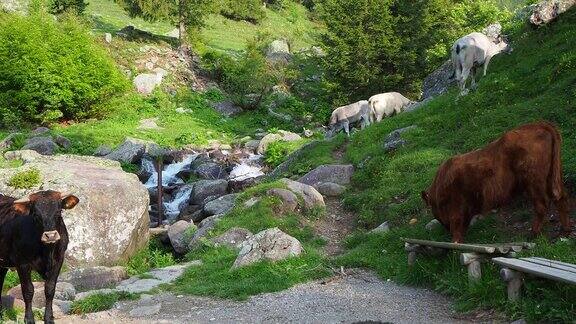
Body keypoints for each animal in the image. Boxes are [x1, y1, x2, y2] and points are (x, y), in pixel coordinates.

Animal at [0, 191, 79, 324]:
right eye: (36, 215)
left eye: (59, 211)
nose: (50, 235)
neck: (47, 251)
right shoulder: (22, 264)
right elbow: (28, 290)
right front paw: (29, 319)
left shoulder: (58, 261)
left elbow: (50, 289)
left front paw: (49, 318)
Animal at [420, 122, 572, 243]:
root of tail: (540, 124)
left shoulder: (457, 204)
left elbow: (456, 223)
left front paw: (456, 242)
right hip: (553, 176)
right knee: (560, 198)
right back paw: (565, 231)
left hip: (534, 181)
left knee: (542, 205)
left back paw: (533, 233)